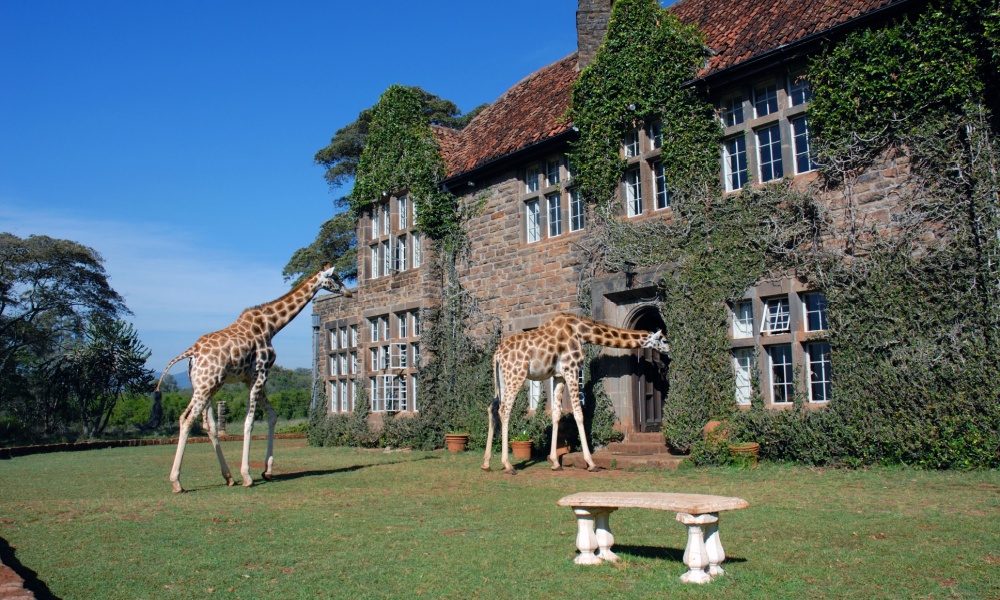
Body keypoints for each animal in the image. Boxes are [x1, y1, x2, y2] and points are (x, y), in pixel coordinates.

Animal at [156, 266, 352, 492]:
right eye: (335, 278)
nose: (349, 292)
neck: (271, 325)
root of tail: (192, 353)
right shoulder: (262, 372)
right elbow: (249, 422)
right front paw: (247, 476)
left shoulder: (250, 378)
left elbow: (272, 415)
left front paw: (267, 470)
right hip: (207, 385)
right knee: (188, 419)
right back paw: (177, 482)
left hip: (205, 386)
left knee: (202, 424)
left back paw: (228, 477)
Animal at [480, 312, 668, 476]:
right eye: (664, 340)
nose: (668, 354)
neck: (581, 332)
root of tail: (497, 354)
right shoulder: (571, 369)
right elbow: (579, 413)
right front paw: (591, 463)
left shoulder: (558, 376)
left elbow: (556, 414)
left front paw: (555, 463)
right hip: (516, 375)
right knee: (504, 409)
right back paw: (508, 465)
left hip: (502, 378)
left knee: (492, 407)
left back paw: (486, 463)